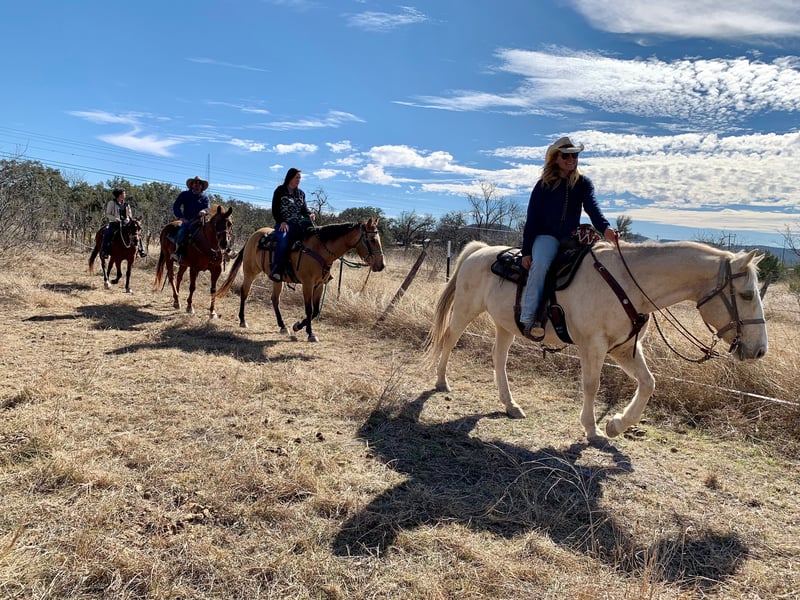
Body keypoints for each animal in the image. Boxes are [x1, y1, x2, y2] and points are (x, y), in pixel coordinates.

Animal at [214, 219, 385, 342]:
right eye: (372, 239)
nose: (381, 265)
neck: (319, 250)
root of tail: (253, 236)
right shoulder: (307, 284)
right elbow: (309, 309)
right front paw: (310, 333)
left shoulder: (319, 285)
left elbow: (315, 311)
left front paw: (297, 326)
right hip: (250, 271)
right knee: (244, 292)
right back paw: (243, 320)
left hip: (277, 279)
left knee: (275, 299)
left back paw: (283, 326)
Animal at [424, 239, 768, 443]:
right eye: (747, 295)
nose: (760, 349)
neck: (629, 284)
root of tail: (479, 250)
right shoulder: (594, 346)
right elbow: (592, 385)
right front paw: (592, 429)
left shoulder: (625, 349)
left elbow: (648, 383)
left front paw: (617, 424)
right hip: (466, 310)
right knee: (449, 339)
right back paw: (441, 381)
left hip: (506, 325)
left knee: (499, 359)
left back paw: (511, 405)